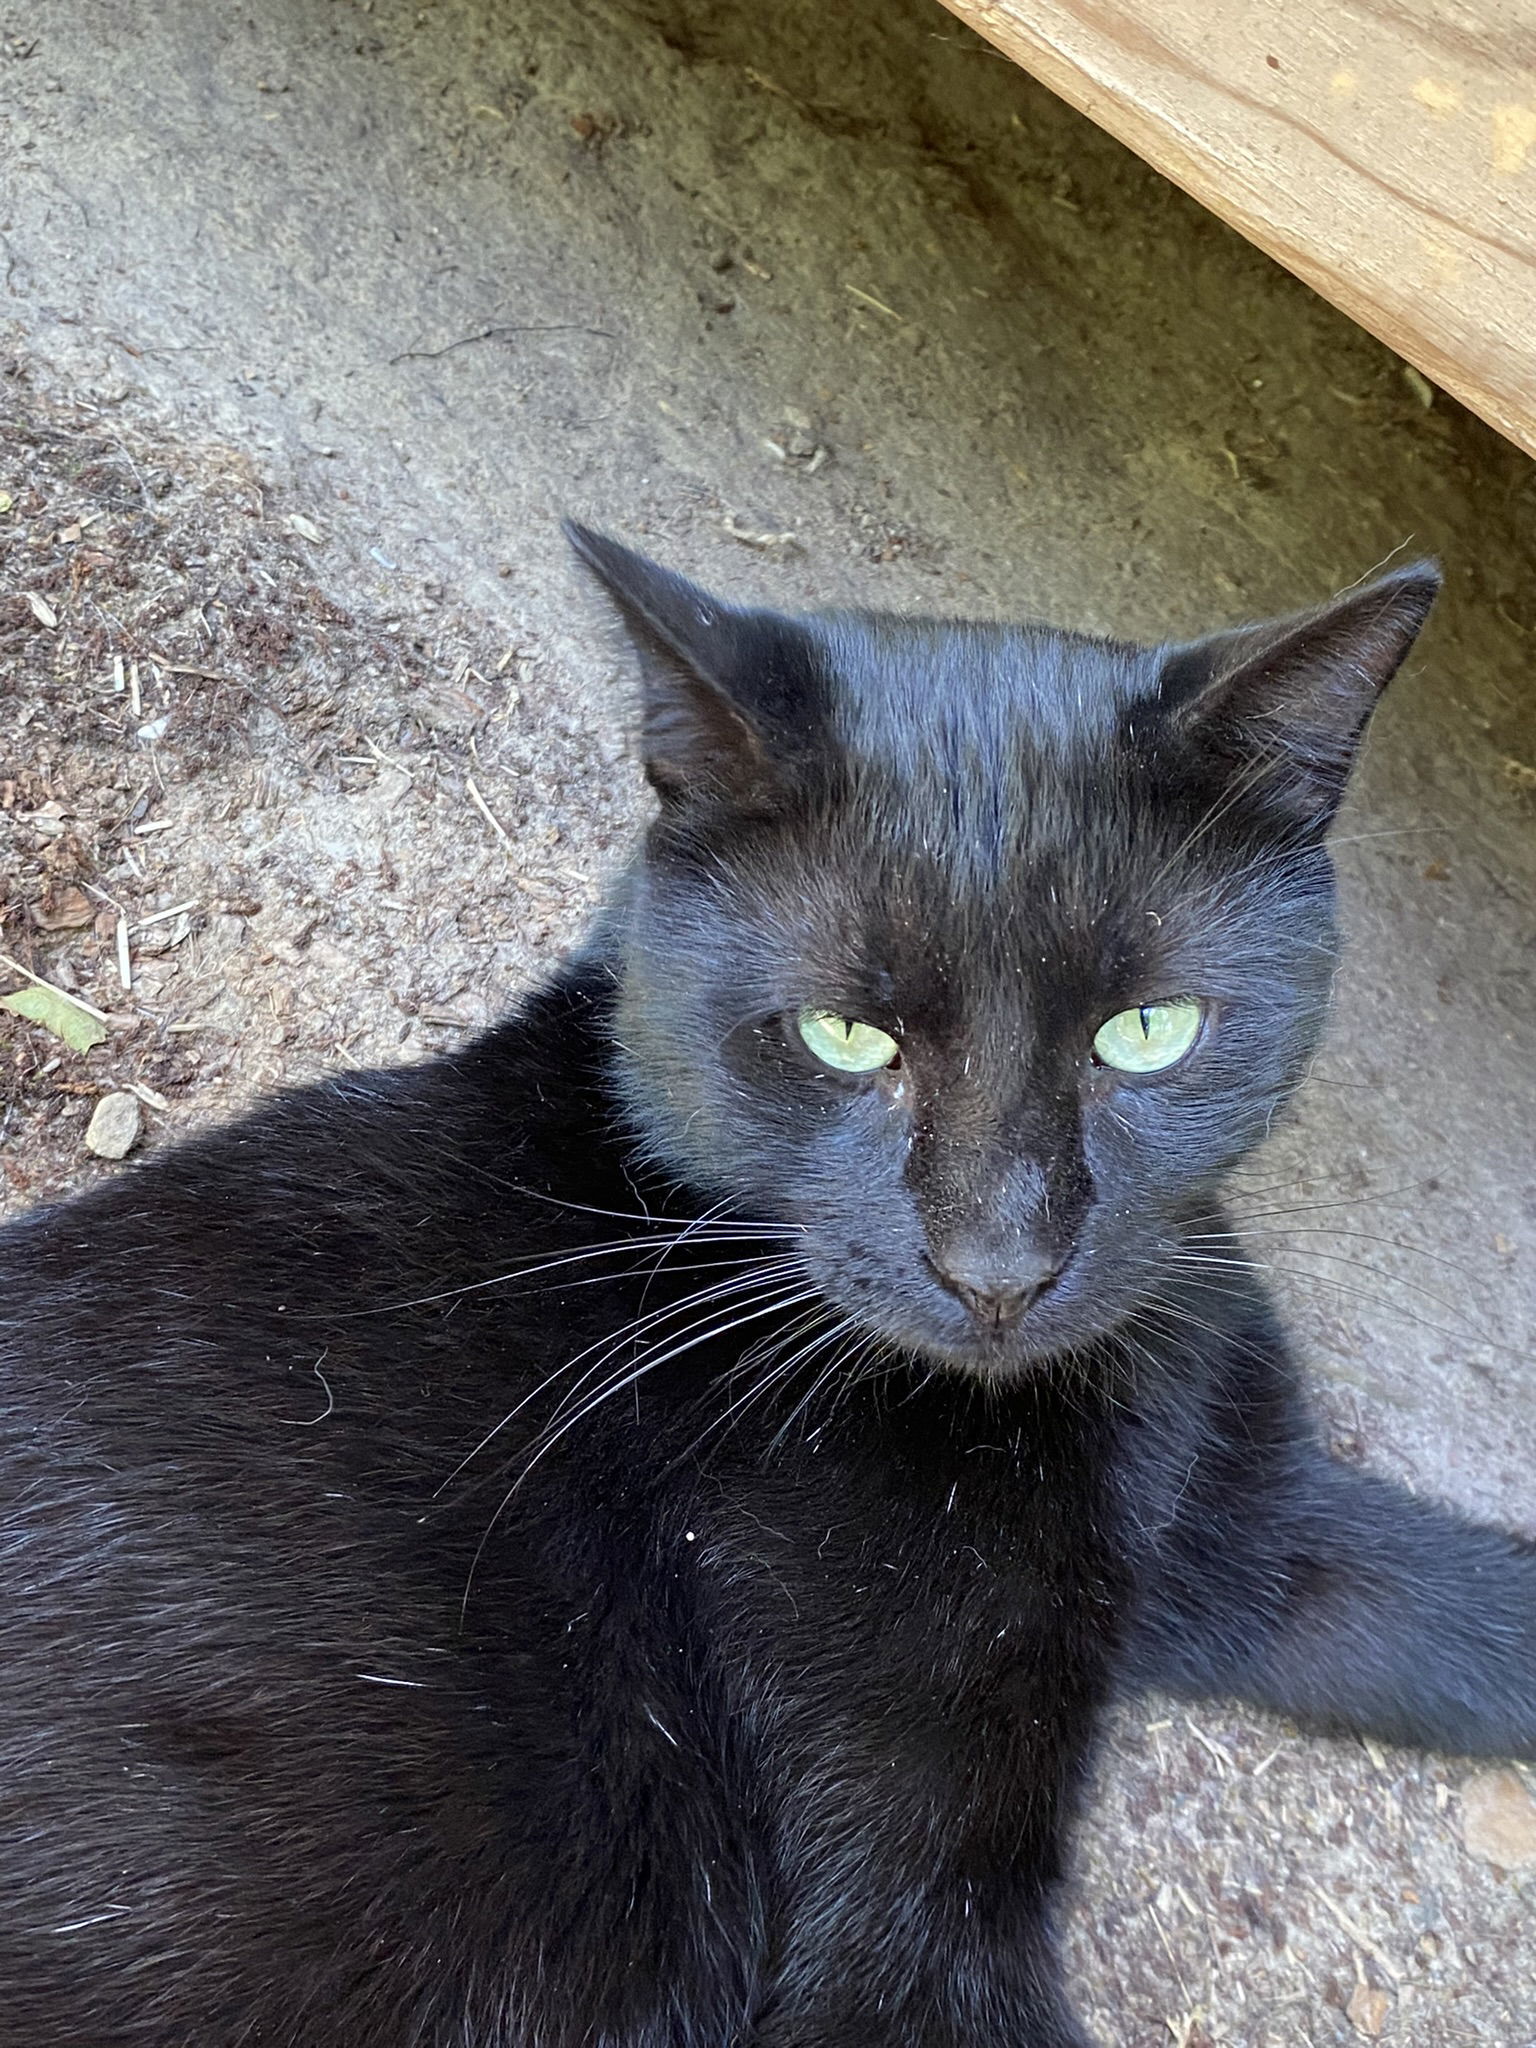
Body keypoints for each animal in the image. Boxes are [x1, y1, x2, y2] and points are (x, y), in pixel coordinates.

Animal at [0, 532, 1531, 2048]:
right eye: (845, 1037)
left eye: (1146, 1033)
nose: (999, 1267)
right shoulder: (907, 1910)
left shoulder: (1260, 1539)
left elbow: (1464, 1609)